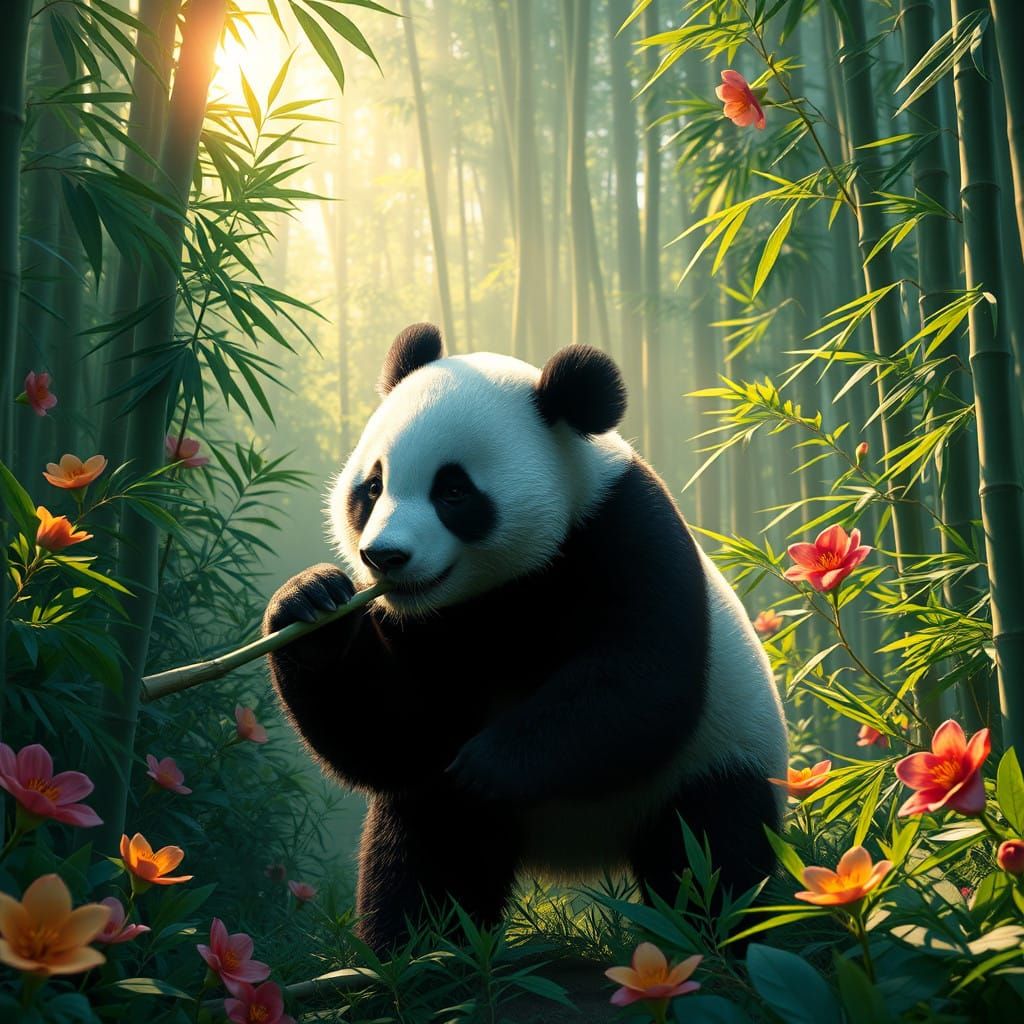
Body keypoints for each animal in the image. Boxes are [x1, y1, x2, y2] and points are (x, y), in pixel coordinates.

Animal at [263, 322, 788, 952]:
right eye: (372, 486)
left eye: (453, 492)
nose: (383, 556)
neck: (503, 594)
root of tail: (578, 855)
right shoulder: (426, 625)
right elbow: (391, 732)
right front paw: (313, 604)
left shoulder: (624, 529)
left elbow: (643, 682)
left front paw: (485, 765)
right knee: (427, 853)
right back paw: (418, 952)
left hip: (716, 760)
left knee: (712, 855)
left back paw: (716, 942)